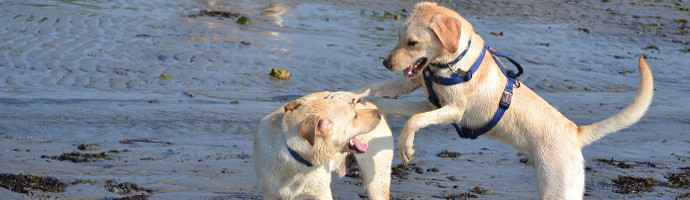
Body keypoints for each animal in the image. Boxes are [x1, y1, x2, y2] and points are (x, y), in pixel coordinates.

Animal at [253, 91, 392, 199]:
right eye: (355, 116)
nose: (378, 113)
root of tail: (371, 104)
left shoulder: (321, 194)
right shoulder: (271, 194)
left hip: (375, 184)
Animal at [328, 1, 652, 200]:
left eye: (412, 43)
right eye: (398, 37)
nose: (385, 62)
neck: (452, 64)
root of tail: (575, 131)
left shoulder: (452, 111)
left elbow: (414, 120)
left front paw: (406, 147)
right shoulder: (423, 94)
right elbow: (380, 90)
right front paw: (350, 96)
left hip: (559, 189)